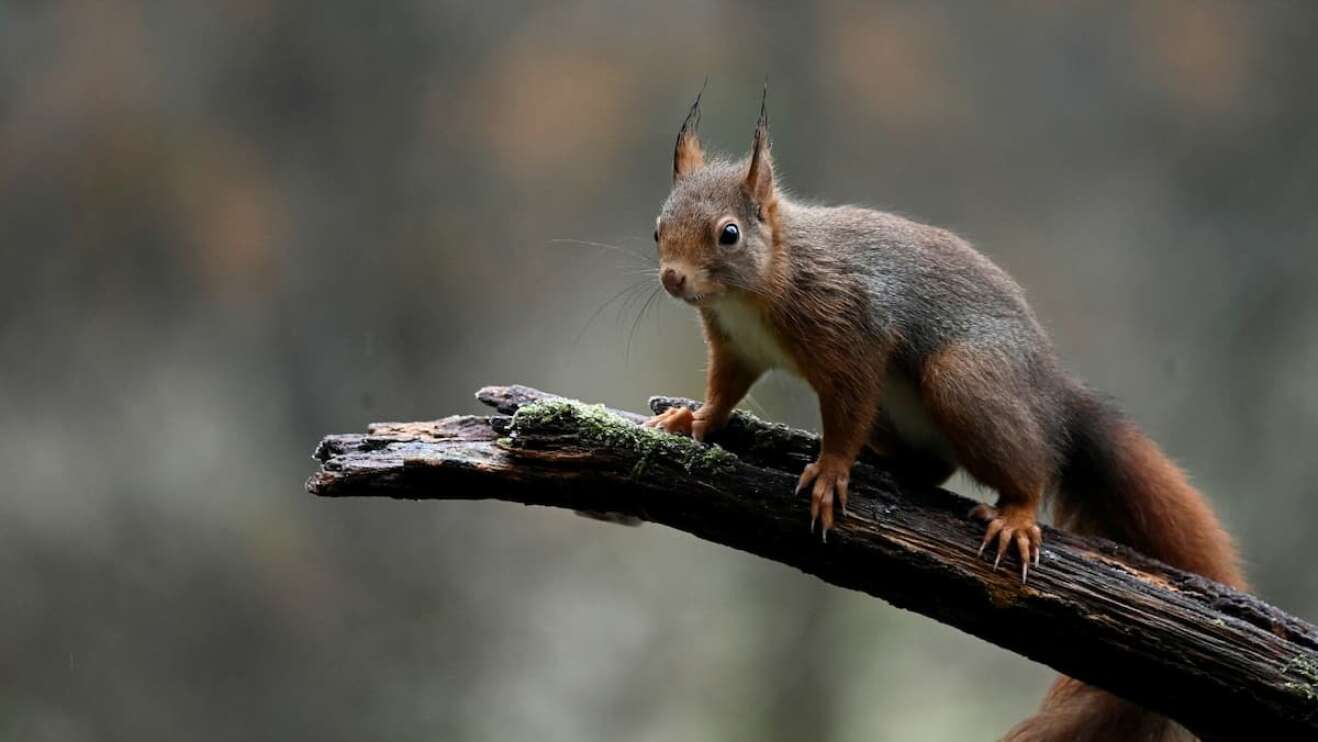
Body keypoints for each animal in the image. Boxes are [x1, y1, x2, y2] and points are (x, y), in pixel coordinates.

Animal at [642, 87, 1246, 741]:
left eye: (728, 234)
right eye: (657, 229)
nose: (673, 278)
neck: (761, 282)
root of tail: (1052, 396)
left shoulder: (852, 333)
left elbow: (846, 409)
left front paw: (831, 471)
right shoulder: (736, 347)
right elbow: (725, 392)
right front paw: (692, 420)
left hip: (964, 381)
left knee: (1029, 465)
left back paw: (1015, 513)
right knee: (930, 466)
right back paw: (889, 461)